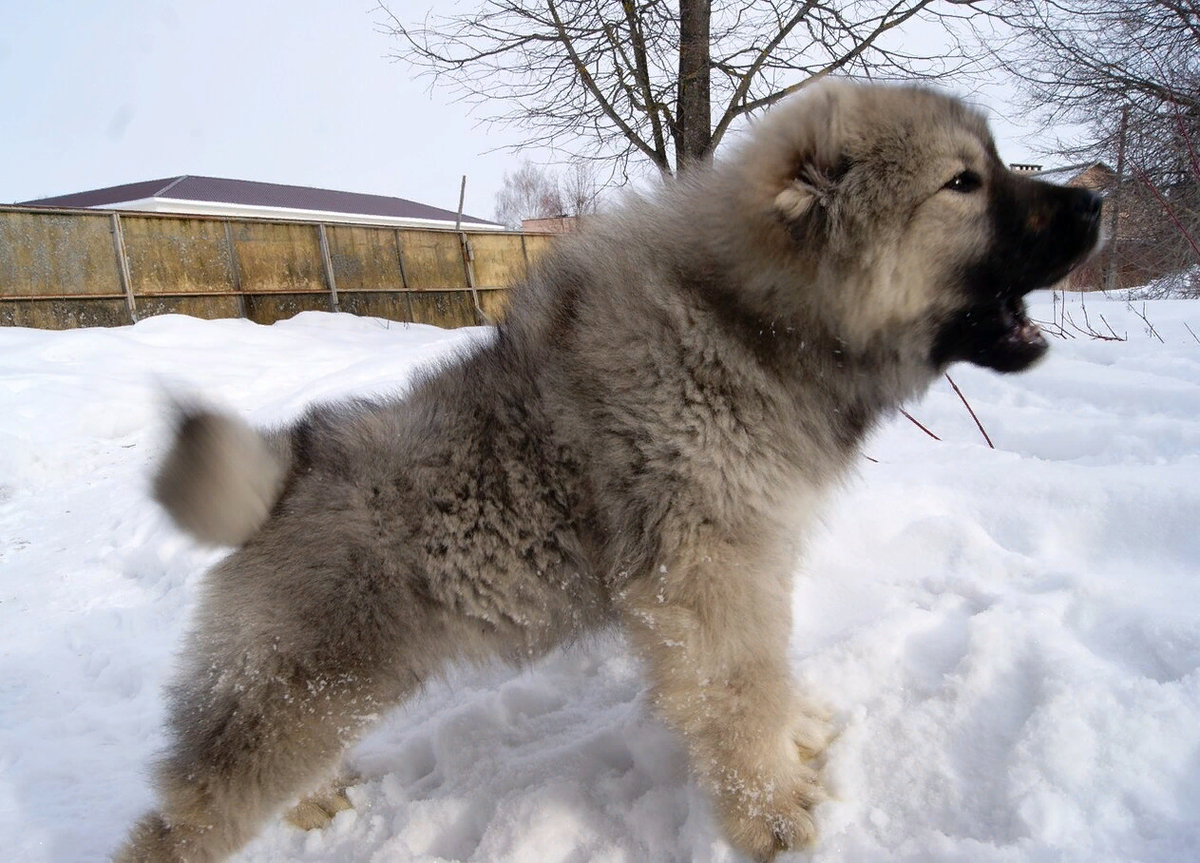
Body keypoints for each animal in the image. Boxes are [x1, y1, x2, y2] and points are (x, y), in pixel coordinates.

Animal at [117, 81, 1099, 863]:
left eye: (992, 165)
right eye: (964, 183)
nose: (1094, 201)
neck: (747, 324)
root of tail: (288, 461)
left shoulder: (754, 557)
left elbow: (766, 680)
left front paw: (796, 744)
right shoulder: (708, 576)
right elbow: (742, 692)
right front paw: (771, 816)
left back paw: (316, 800)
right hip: (301, 687)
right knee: (185, 816)